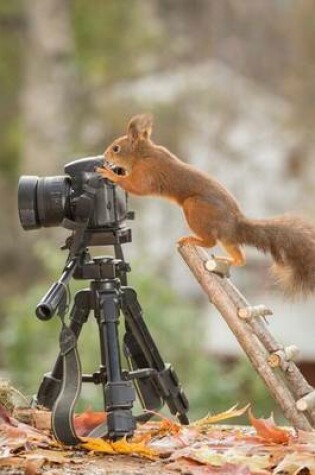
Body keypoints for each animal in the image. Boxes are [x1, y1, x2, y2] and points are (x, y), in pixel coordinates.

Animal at [97, 114, 315, 296]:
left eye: (116, 148)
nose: (105, 156)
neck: (143, 153)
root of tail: (235, 223)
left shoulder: (148, 173)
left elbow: (135, 186)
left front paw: (110, 174)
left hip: (194, 208)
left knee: (210, 241)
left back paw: (191, 239)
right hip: (227, 238)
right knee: (239, 256)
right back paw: (229, 260)